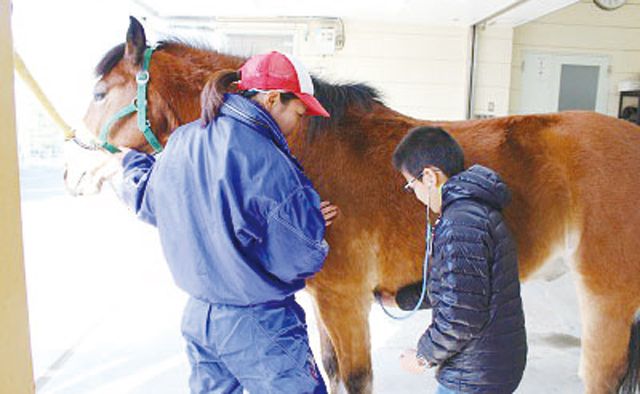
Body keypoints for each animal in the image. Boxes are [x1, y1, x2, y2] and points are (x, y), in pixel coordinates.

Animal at [76, 17, 640, 394]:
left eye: (101, 92)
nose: (72, 169)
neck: (309, 147)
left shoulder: (344, 301)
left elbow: (354, 377)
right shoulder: (325, 304)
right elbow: (331, 372)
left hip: (607, 297)